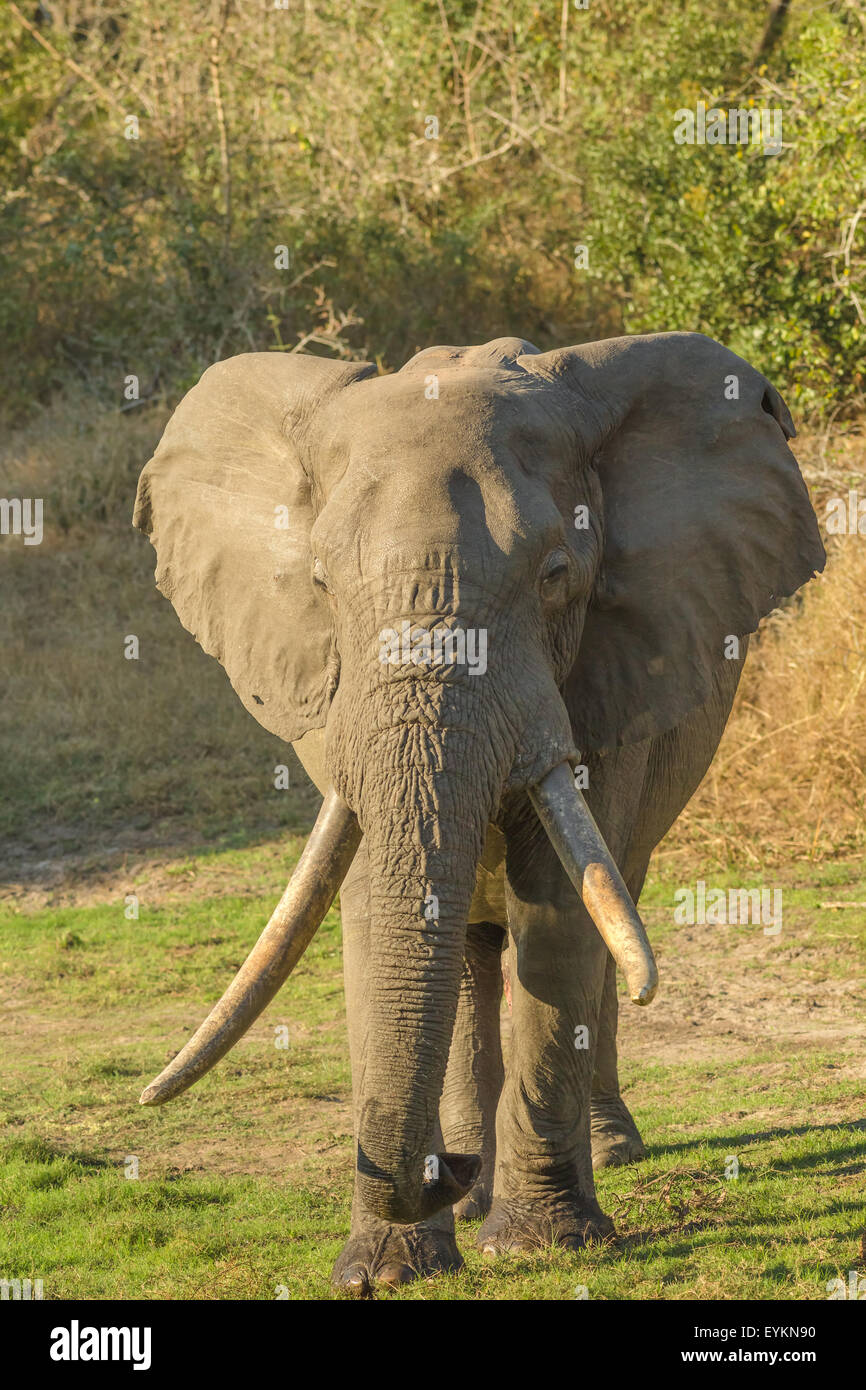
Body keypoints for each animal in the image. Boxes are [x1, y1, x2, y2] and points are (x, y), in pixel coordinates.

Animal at [132, 332, 824, 1294]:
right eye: (320, 583)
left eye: (557, 577)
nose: (443, 1171)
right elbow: (367, 913)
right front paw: (386, 1269)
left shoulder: (607, 677)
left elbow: (560, 912)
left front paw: (540, 1246)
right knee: (466, 952)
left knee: (611, 900)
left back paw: (598, 1153)